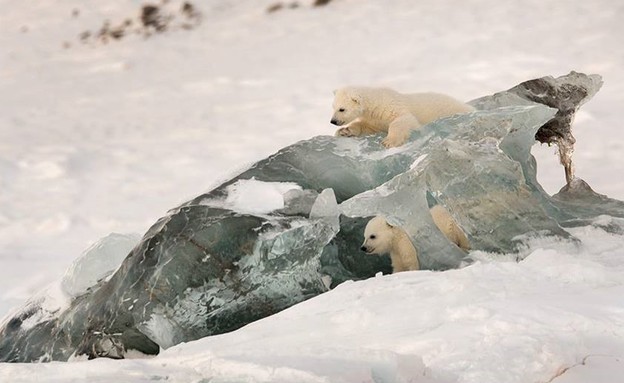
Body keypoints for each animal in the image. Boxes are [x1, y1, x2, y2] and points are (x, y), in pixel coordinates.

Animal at [332, 87, 472, 148]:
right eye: (333, 107)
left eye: (342, 109)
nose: (333, 121)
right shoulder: (375, 120)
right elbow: (367, 127)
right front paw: (344, 131)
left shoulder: (392, 107)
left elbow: (404, 120)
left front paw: (389, 141)